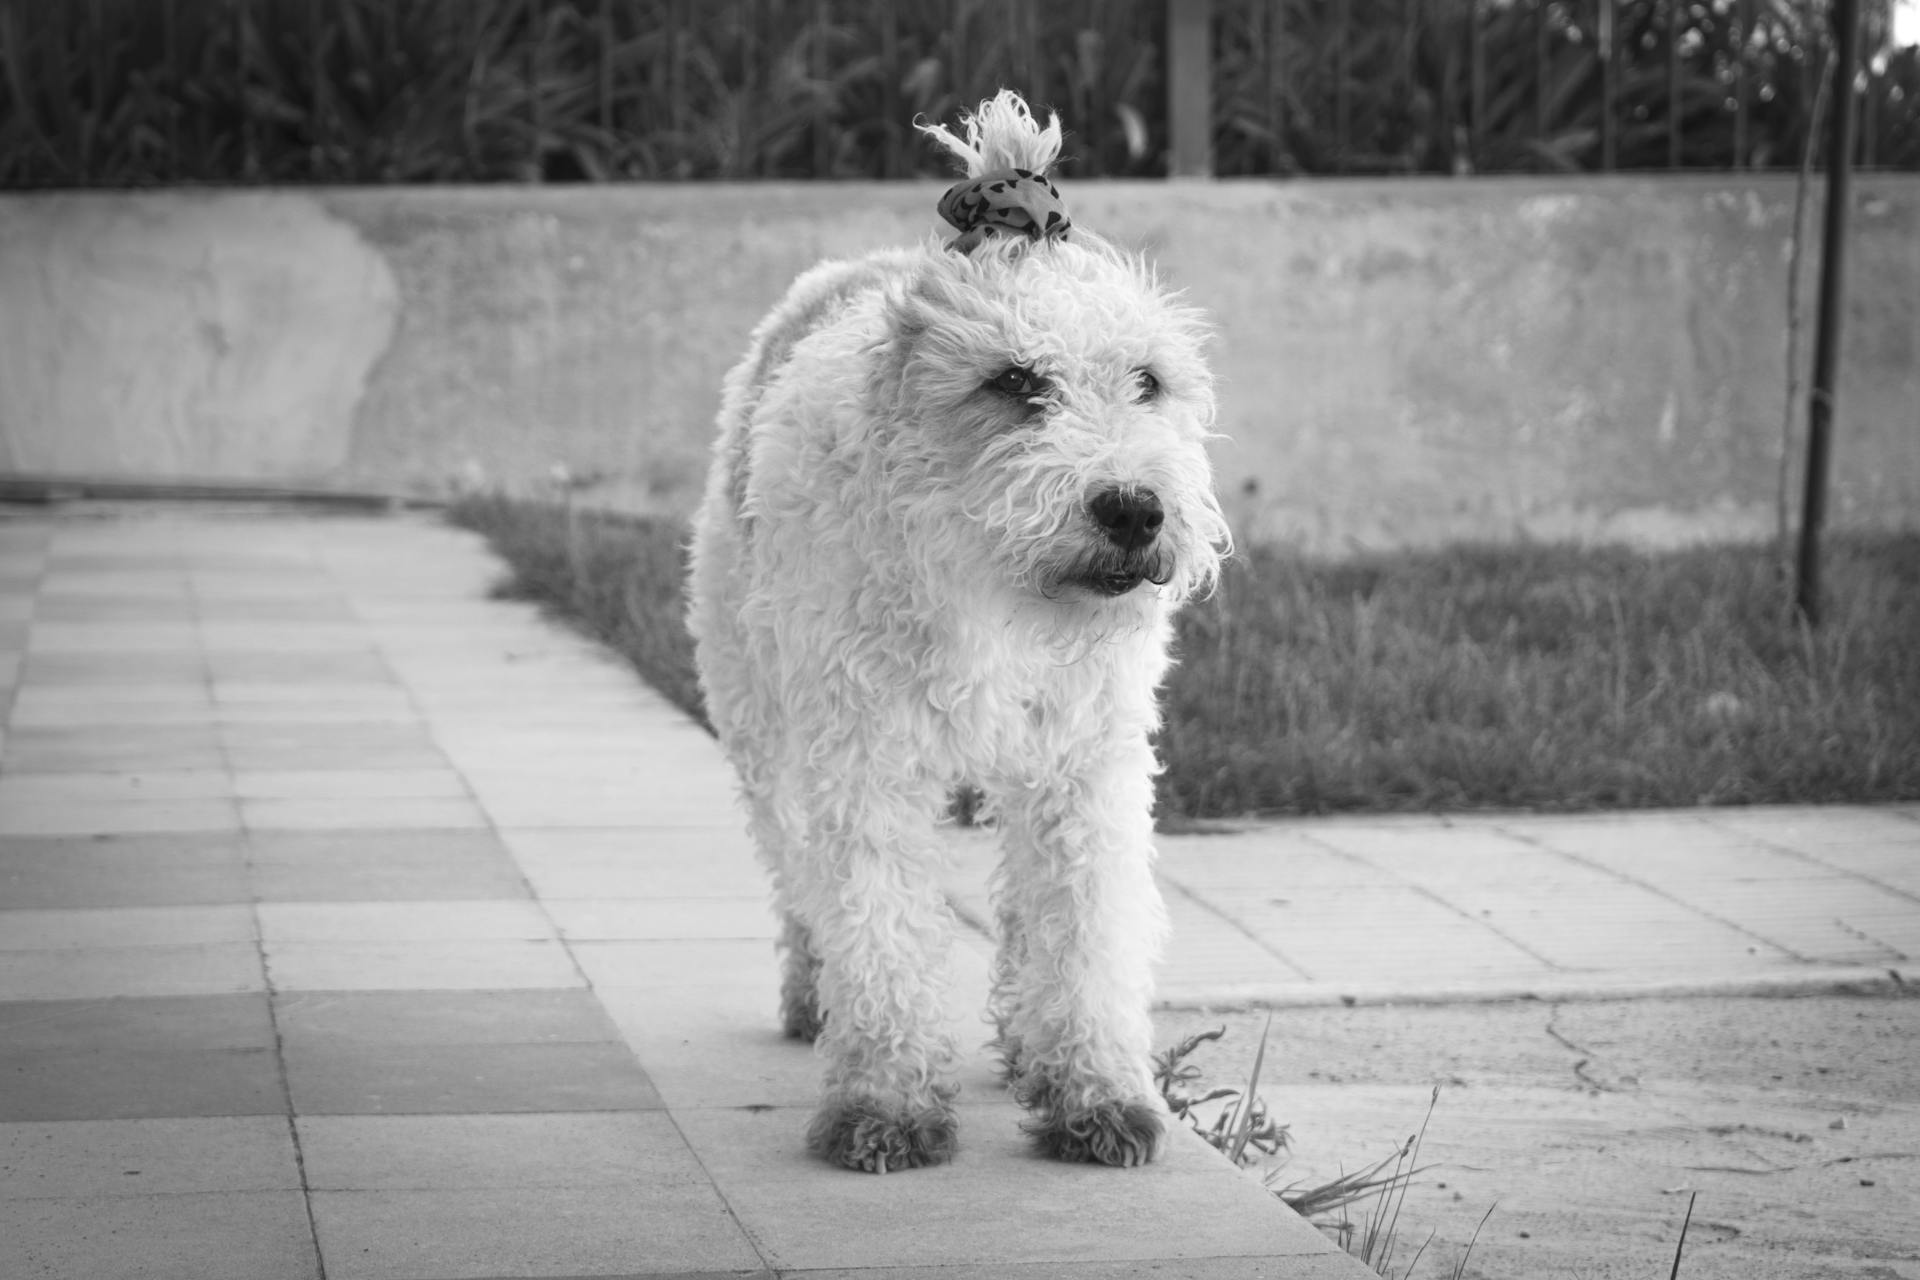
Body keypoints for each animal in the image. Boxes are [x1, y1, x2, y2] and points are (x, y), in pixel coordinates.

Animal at [691, 87, 1228, 1174]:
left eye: (1147, 380)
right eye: (1016, 382)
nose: (1134, 509)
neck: (989, 584)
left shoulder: (1087, 763)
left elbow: (1084, 928)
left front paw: (1096, 1093)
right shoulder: (863, 760)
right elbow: (880, 924)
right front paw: (886, 1105)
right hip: (761, 729)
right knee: (800, 885)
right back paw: (814, 1000)